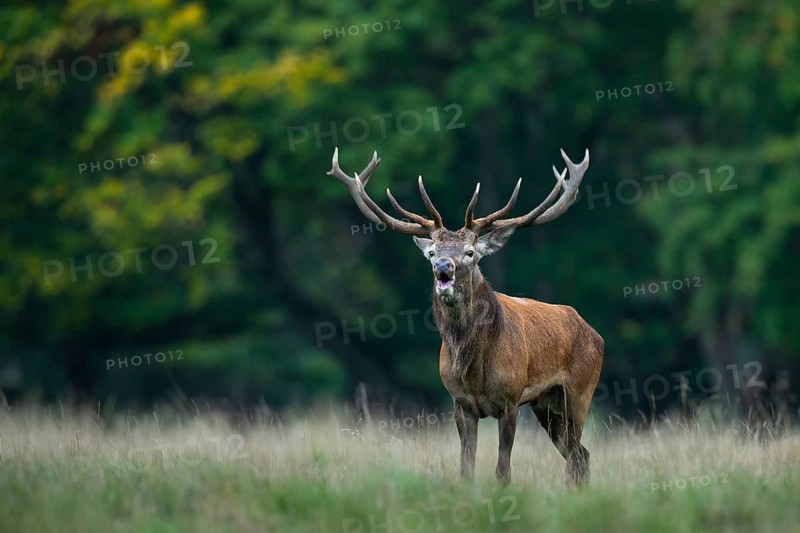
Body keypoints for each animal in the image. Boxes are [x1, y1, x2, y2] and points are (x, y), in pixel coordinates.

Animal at [327, 146, 604, 486]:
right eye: (432, 252)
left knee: (577, 454)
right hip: (546, 405)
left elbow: (502, 470)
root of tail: (594, 333)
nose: (443, 267)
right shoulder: (460, 403)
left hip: (579, 392)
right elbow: (466, 467)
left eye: (470, 252)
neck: (473, 369)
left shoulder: (510, 399)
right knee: (581, 454)